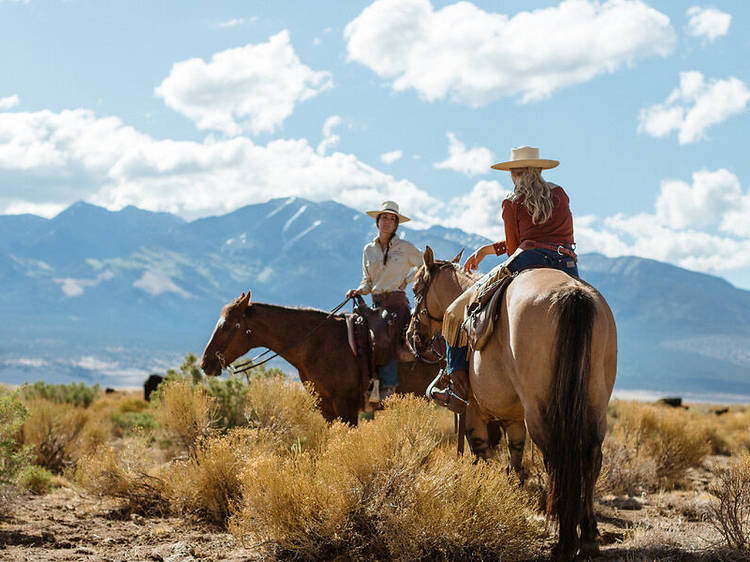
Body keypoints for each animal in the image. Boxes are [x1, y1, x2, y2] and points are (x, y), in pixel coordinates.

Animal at [408, 247, 620, 556]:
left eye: (415, 290)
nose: (411, 337)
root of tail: (573, 295)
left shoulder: (474, 412)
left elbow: (481, 458)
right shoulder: (513, 419)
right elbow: (515, 463)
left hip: (540, 409)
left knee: (556, 458)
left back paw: (563, 540)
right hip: (595, 403)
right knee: (591, 457)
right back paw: (589, 536)